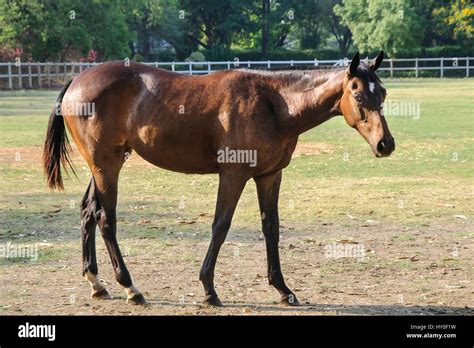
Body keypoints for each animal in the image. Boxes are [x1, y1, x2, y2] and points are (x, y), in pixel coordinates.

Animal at [43, 51, 392, 308]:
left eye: (383, 92)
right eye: (357, 93)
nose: (385, 144)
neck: (274, 103)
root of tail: (76, 80)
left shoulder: (269, 176)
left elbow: (271, 228)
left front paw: (283, 289)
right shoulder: (233, 175)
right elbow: (220, 226)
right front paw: (209, 289)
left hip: (103, 166)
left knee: (88, 211)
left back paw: (96, 283)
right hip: (107, 166)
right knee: (106, 219)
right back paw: (131, 287)